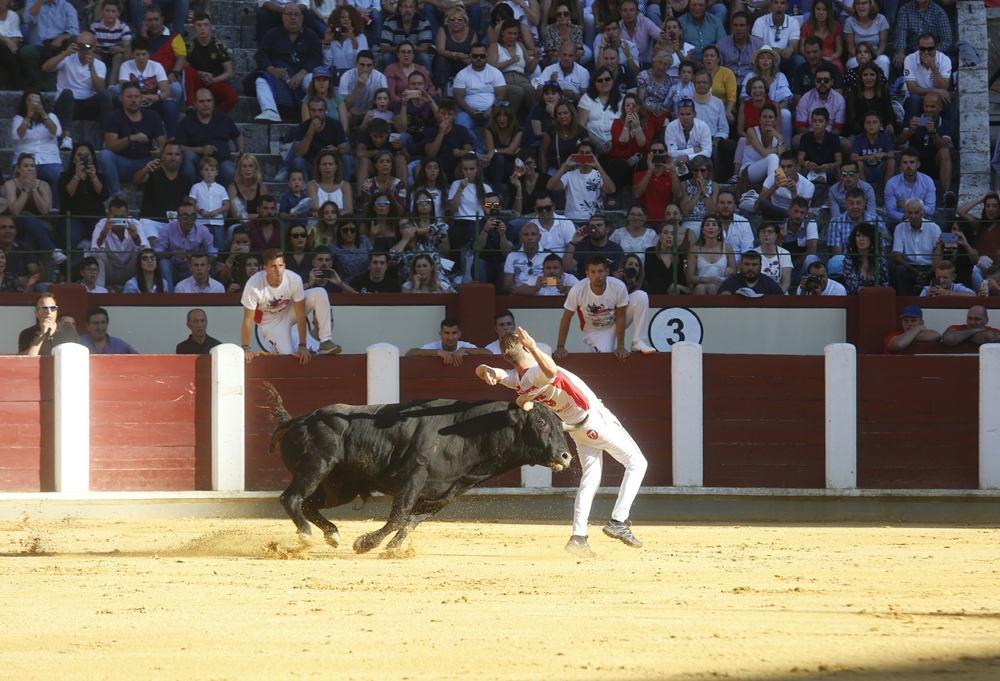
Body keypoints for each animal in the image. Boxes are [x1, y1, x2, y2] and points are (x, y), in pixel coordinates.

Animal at [262, 382, 572, 552]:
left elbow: (412, 521)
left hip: (340, 487)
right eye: (541, 423)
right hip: (315, 467)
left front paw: (392, 549)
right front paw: (366, 544)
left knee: (308, 504)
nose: (566, 456)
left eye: (560, 426)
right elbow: (399, 516)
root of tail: (299, 419)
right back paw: (306, 535)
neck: (467, 433)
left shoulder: (447, 493)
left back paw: (333, 535)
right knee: (291, 498)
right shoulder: (412, 479)